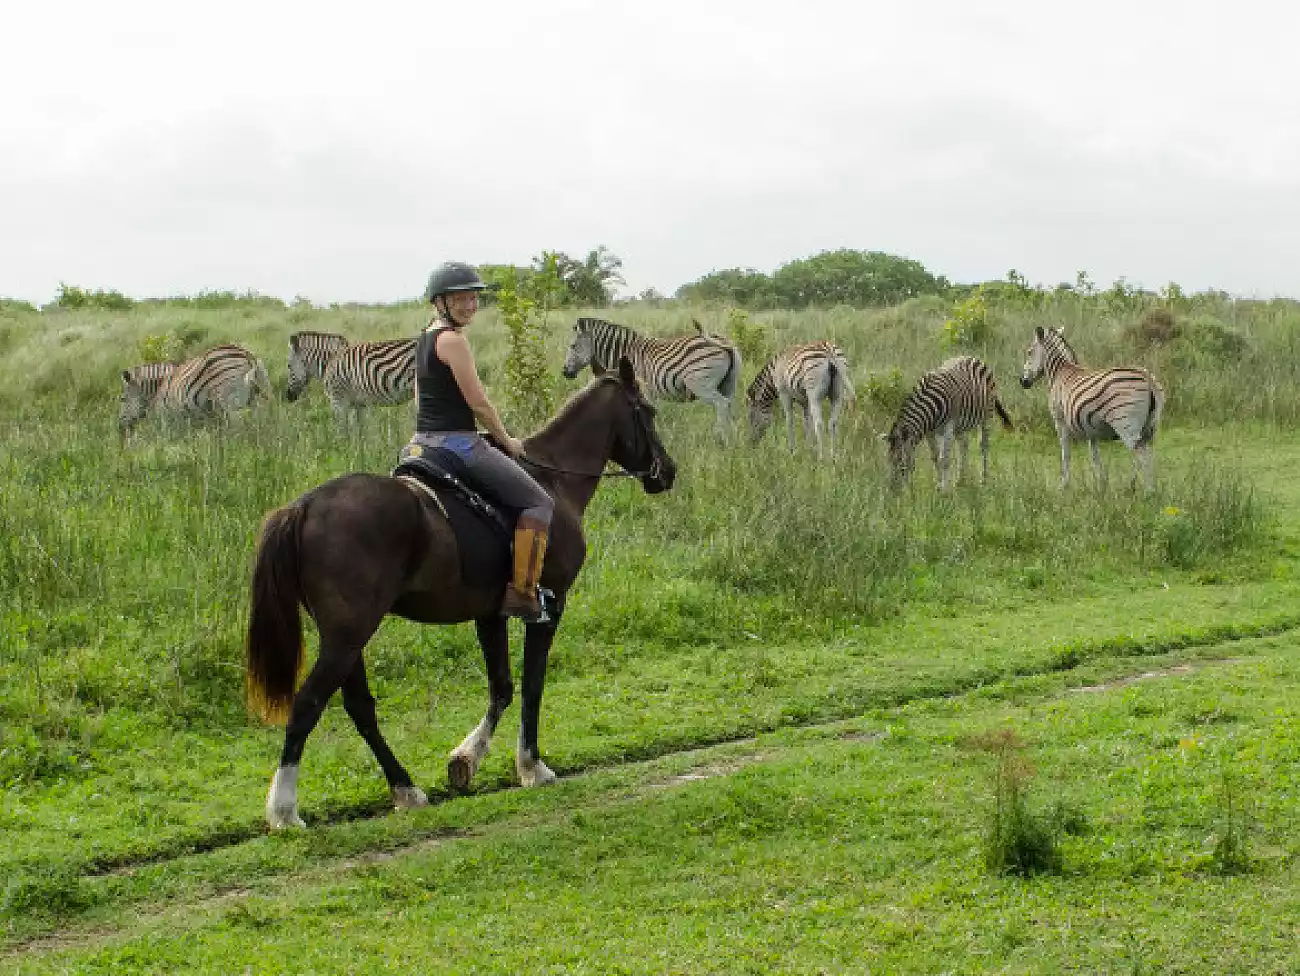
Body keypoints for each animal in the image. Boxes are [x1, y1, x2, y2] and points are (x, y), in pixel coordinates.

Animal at [246, 358, 677, 829]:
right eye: (648, 412)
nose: (668, 471)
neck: (553, 478)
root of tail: (303, 507)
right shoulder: (551, 606)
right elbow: (532, 684)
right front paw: (531, 766)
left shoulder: (490, 614)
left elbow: (502, 687)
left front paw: (465, 761)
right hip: (346, 636)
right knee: (308, 704)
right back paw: (284, 810)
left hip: (347, 638)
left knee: (359, 706)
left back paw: (406, 790)